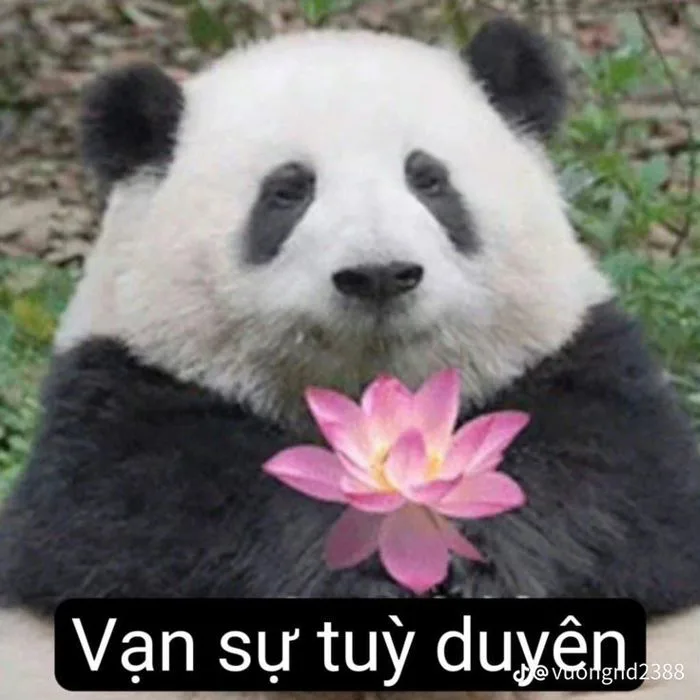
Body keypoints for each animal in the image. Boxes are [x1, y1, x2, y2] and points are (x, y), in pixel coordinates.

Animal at [1, 15, 699, 700]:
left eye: (429, 178)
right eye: (287, 192)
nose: (379, 274)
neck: (371, 401)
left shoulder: (580, 365)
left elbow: (617, 498)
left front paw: (477, 561)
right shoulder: (121, 402)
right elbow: (150, 522)